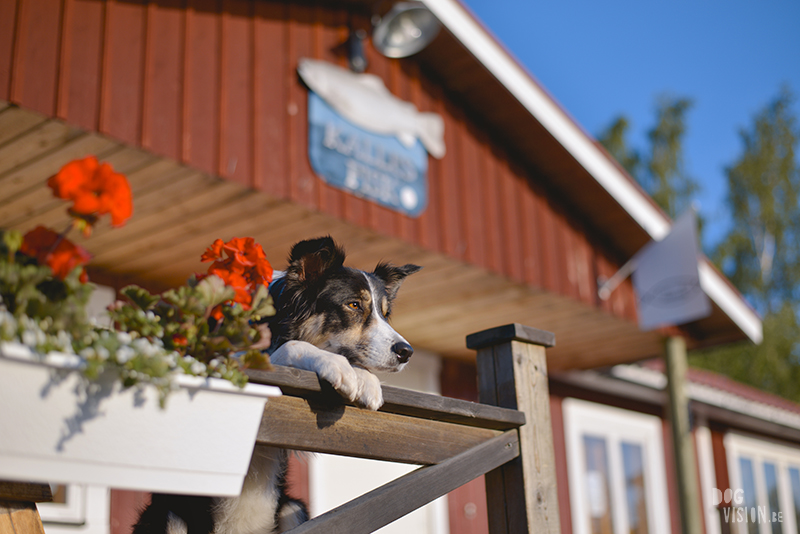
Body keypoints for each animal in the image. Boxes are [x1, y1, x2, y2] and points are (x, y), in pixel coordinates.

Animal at [133, 239, 418, 534]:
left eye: (385, 314)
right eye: (353, 305)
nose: (406, 352)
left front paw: (366, 380)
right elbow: (291, 346)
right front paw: (336, 364)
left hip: (294, 508)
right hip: (170, 516)